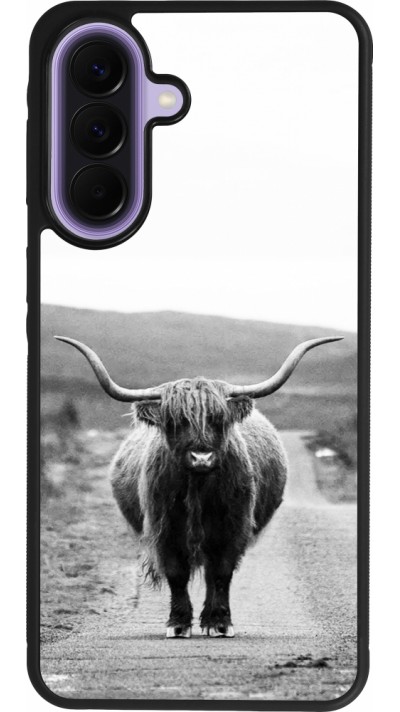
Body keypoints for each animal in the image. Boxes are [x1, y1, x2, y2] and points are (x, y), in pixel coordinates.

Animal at [55, 334, 341, 638]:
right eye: (175, 421)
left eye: (218, 419)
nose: (201, 457)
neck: (198, 488)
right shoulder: (164, 529)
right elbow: (176, 574)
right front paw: (178, 623)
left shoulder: (233, 527)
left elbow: (221, 573)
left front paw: (219, 622)